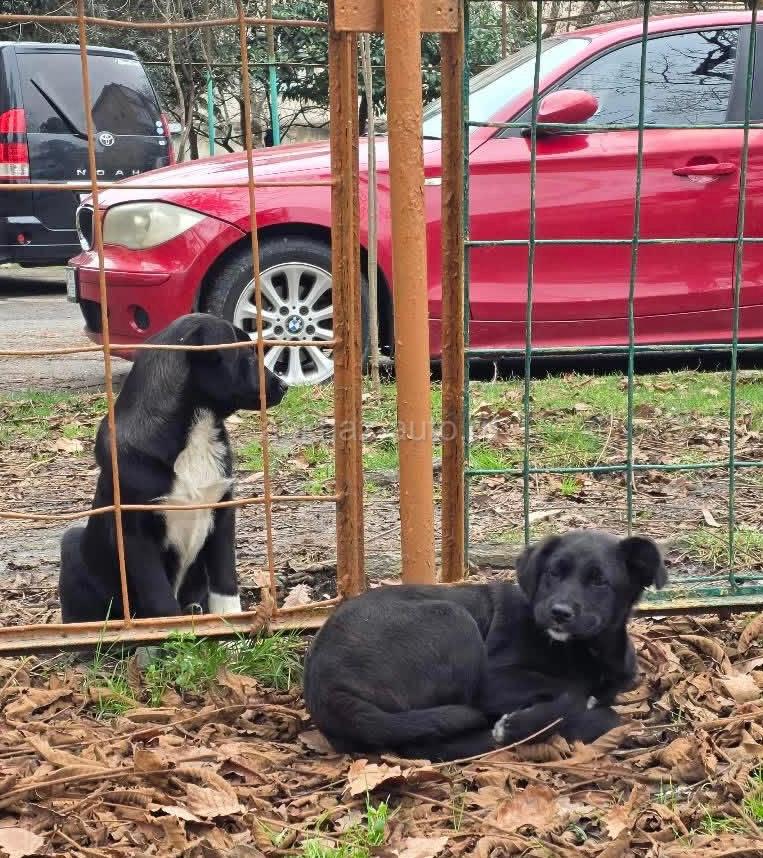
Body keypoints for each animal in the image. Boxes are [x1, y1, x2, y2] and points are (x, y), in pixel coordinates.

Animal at [59, 313, 286, 623]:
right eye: (248, 354)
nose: (284, 385)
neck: (196, 427)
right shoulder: (136, 533)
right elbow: (160, 600)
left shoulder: (223, 511)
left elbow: (225, 581)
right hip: (71, 547)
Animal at [303, 529, 667, 761]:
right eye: (553, 573)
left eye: (599, 580)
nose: (559, 613)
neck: (584, 651)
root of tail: (328, 691)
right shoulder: (493, 681)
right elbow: (577, 694)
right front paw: (518, 724)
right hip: (452, 619)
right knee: (422, 745)